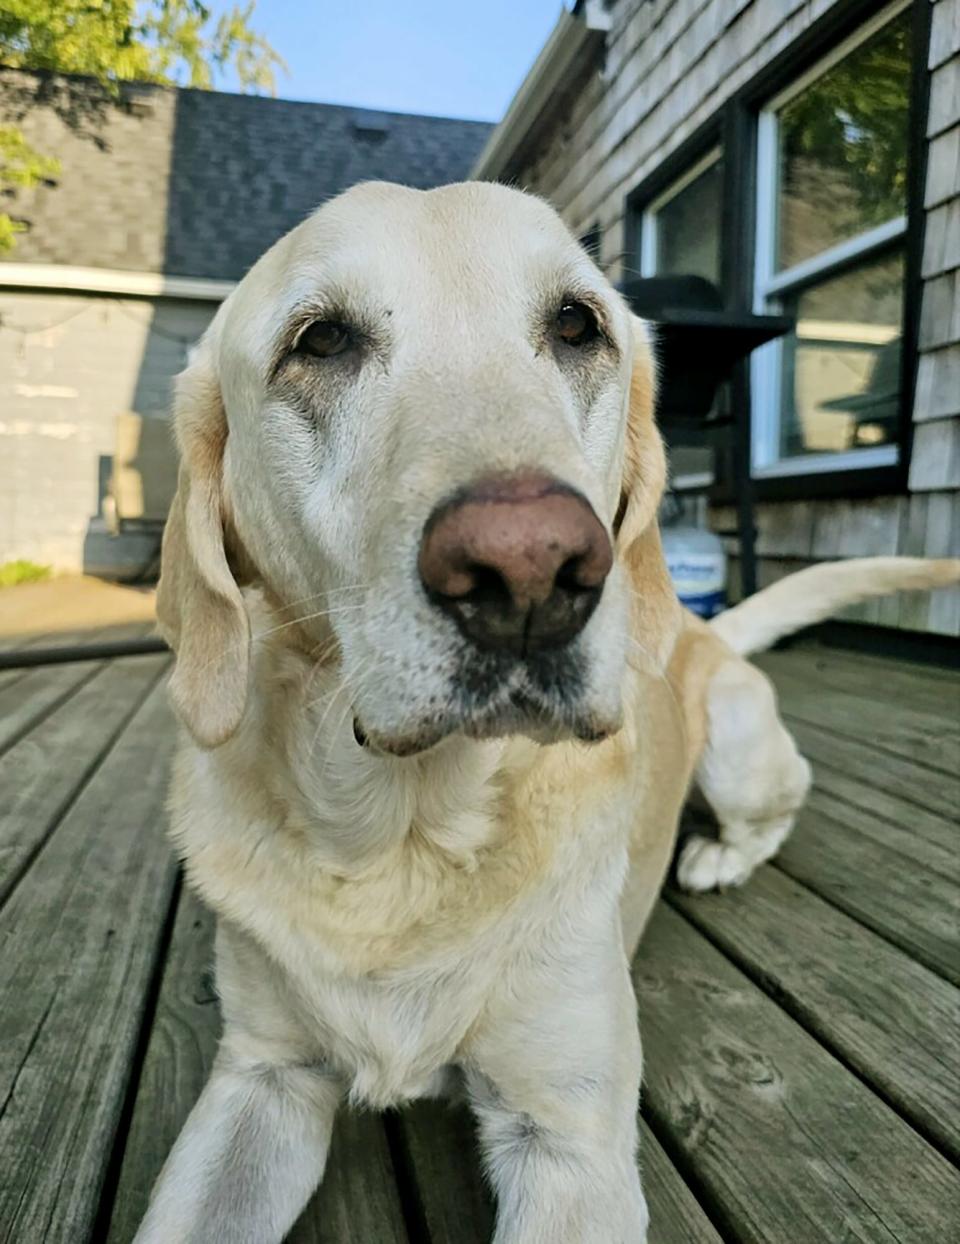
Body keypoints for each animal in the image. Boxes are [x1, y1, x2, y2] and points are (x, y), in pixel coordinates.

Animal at [136, 177, 960, 1244]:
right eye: (320, 342)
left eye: (577, 325)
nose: (530, 568)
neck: (406, 843)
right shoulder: (261, 1078)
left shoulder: (569, 1140)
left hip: (738, 746)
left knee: (782, 799)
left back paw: (719, 854)